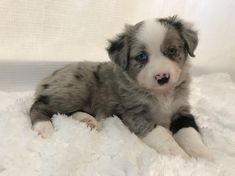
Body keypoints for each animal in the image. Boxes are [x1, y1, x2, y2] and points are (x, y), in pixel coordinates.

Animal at [28, 16, 213, 161]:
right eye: (141, 56)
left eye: (172, 50)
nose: (162, 77)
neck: (161, 95)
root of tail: (51, 75)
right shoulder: (132, 114)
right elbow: (160, 133)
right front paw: (178, 154)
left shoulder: (181, 110)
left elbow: (189, 132)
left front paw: (204, 155)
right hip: (74, 91)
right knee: (39, 105)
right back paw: (44, 127)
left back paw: (88, 121)